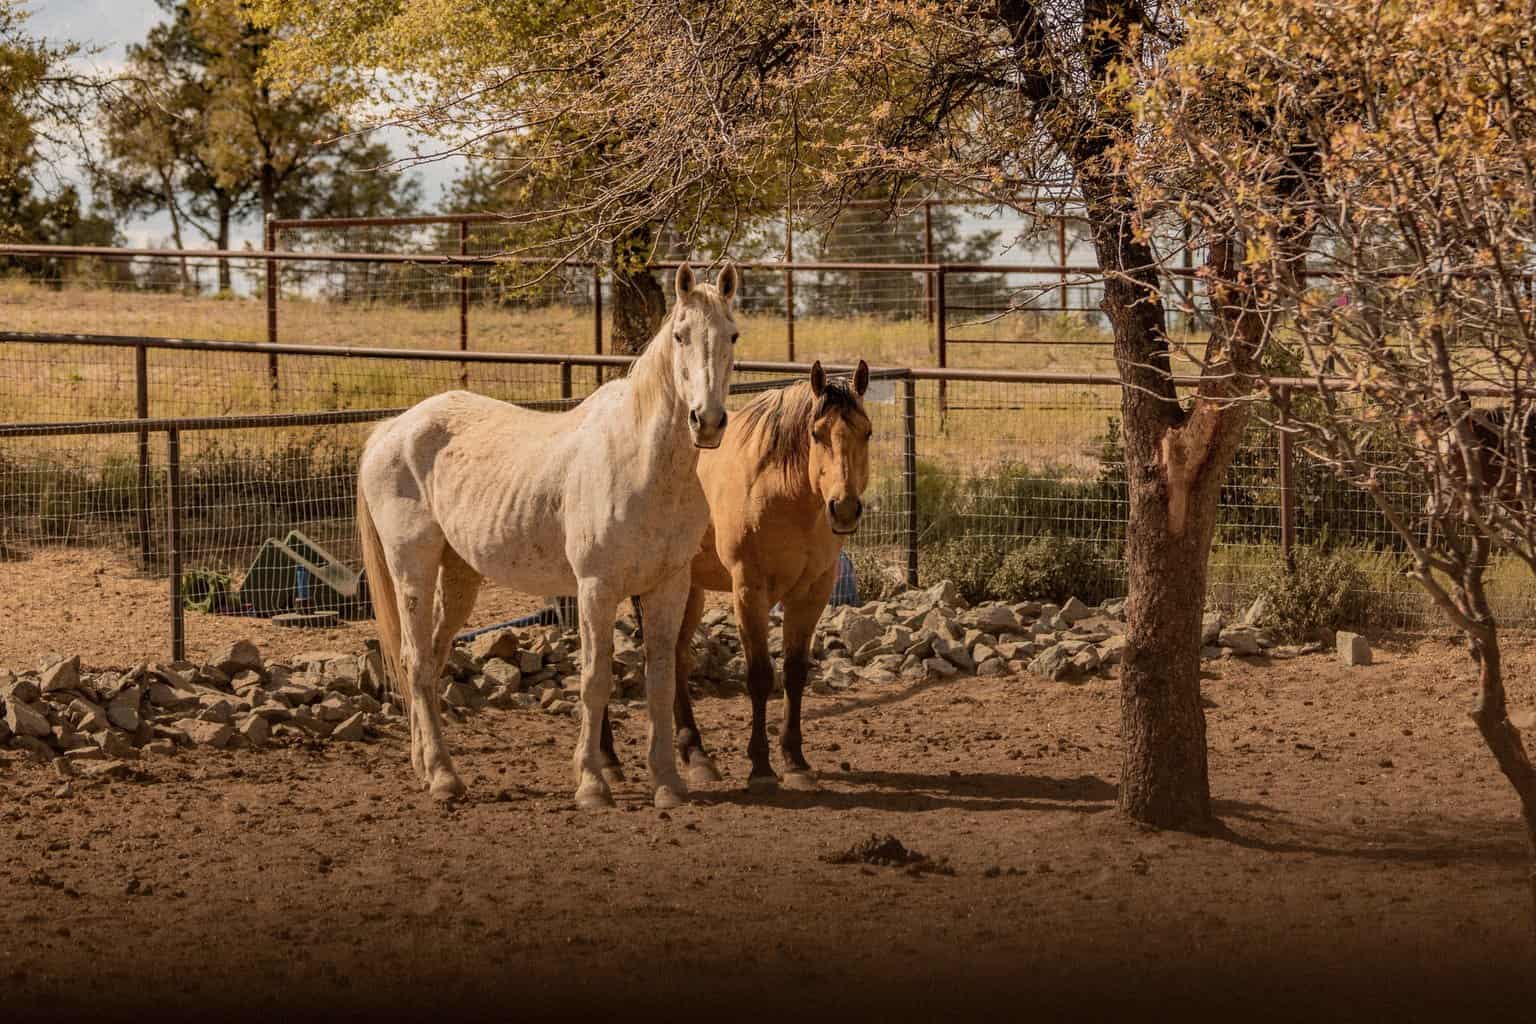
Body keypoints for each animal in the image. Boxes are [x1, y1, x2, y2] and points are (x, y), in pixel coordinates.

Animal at [360, 262, 743, 810]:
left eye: (733, 335)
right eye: (680, 335)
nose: (707, 422)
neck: (641, 462)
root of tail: (392, 428)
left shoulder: (668, 587)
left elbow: (661, 682)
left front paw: (668, 783)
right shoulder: (596, 588)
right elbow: (595, 682)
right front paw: (592, 785)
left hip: (460, 577)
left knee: (431, 662)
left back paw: (424, 766)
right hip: (413, 567)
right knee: (414, 661)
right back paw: (444, 778)